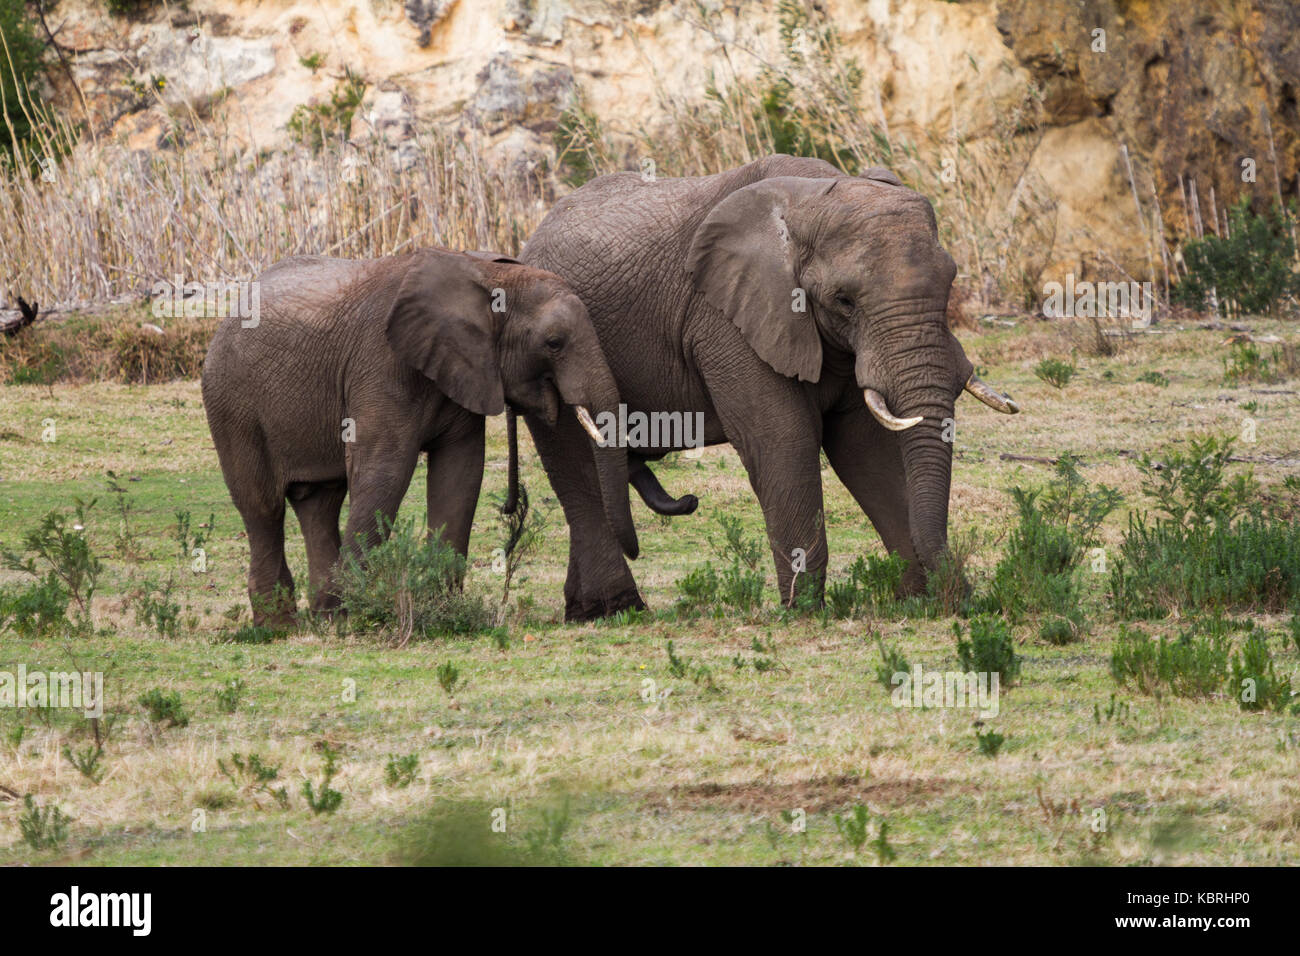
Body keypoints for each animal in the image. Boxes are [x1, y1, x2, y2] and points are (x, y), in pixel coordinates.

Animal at [201, 251, 639, 632]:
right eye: (553, 343)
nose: (635, 551)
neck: (488, 274)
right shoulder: (381, 363)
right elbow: (385, 471)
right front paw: (362, 615)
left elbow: (461, 473)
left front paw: (440, 609)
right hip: (231, 405)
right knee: (263, 508)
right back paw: (280, 627)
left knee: (319, 502)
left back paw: (327, 618)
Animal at [517, 155, 1013, 621]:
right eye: (844, 300)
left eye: (950, 281)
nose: (963, 598)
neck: (813, 197)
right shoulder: (726, 320)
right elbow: (784, 441)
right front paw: (804, 611)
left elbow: (867, 450)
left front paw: (927, 600)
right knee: (576, 468)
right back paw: (615, 610)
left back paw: (586, 611)